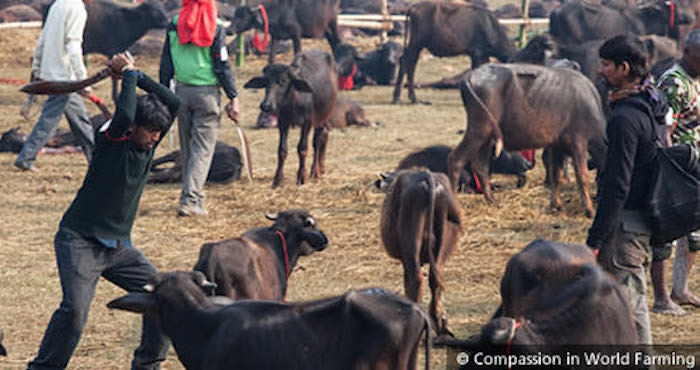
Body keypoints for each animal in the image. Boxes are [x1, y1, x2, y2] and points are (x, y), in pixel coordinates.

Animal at [243, 50, 340, 188]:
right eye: (266, 82)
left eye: (283, 81)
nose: (266, 105)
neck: (293, 102)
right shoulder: (283, 123)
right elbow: (282, 150)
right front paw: (277, 180)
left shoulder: (307, 123)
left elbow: (302, 149)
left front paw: (302, 177)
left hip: (322, 118)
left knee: (318, 142)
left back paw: (315, 171)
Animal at [380, 169, 462, 340]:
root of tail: (428, 179)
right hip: (443, 246)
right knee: (436, 278)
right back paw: (441, 324)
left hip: (411, 249)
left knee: (416, 279)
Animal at [448, 63, 608, 217]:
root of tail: (469, 76)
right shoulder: (578, 143)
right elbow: (582, 176)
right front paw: (589, 210)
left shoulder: (557, 146)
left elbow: (557, 176)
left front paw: (556, 205)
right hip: (479, 129)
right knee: (456, 160)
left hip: (487, 137)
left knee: (480, 165)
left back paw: (493, 201)